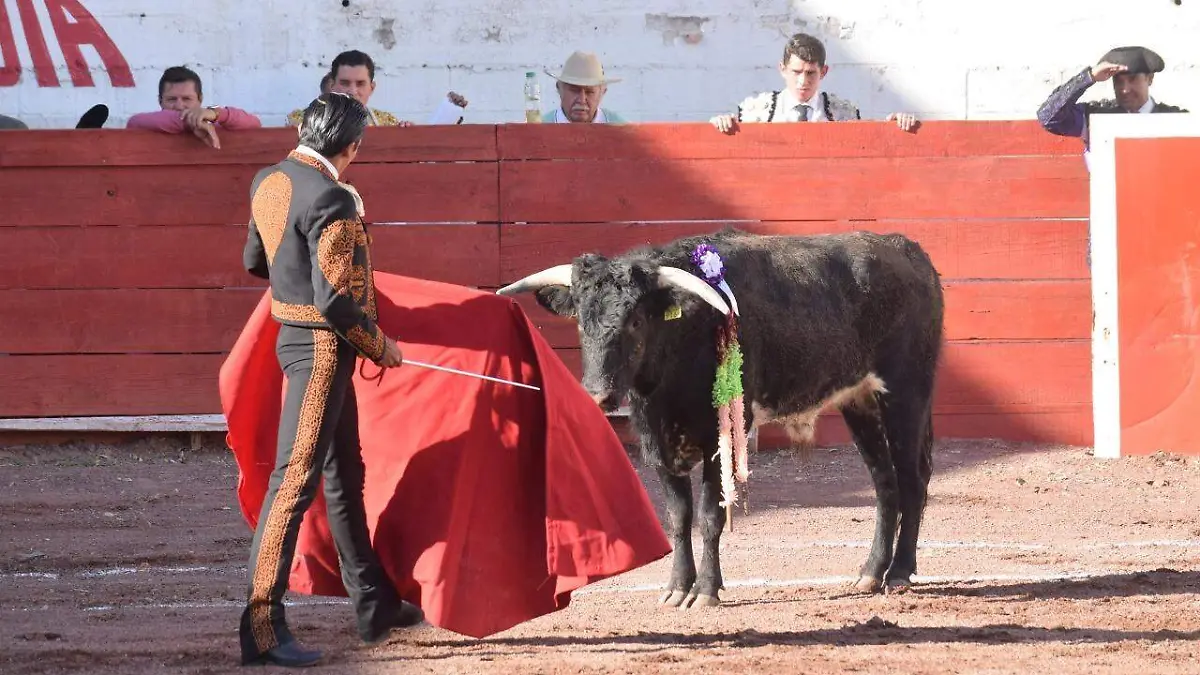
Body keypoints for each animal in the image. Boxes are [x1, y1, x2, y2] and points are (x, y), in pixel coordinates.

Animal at [496, 228, 945, 607]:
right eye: (580, 323)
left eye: (636, 321)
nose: (599, 394)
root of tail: (911, 250)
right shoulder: (654, 441)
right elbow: (678, 517)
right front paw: (678, 588)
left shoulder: (721, 434)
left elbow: (710, 515)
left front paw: (707, 591)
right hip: (859, 400)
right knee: (884, 483)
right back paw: (870, 573)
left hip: (907, 392)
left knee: (911, 479)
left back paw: (899, 573)